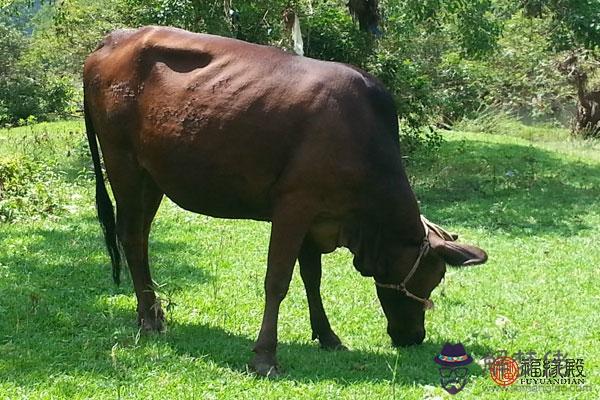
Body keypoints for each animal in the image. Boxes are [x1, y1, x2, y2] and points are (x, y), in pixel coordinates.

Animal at [83, 26, 488, 376]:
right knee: (130, 237)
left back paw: (150, 312)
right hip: (123, 163)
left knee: (139, 238)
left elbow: (312, 278)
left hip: (152, 177)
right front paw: (265, 357)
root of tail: (113, 40)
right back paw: (150, 321)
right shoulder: (294, 206)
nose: (414, 338)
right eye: (433, 278)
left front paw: (328, 337)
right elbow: (277, 280)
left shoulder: (316, 217)